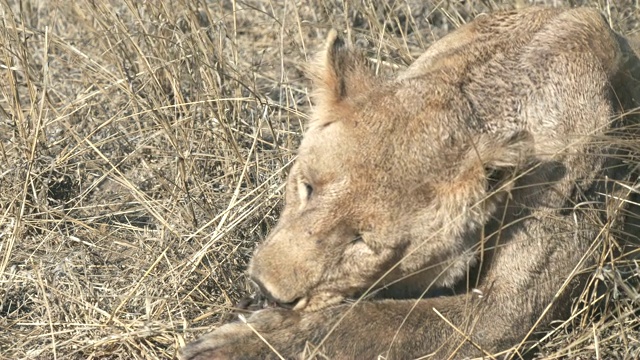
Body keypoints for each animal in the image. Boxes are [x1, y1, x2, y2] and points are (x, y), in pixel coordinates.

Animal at [178, 6, 640, 360]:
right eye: (306, 187)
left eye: (363, 243)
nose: (264, 288)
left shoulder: (501, 314)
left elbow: (370, 321)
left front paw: (239, 342)